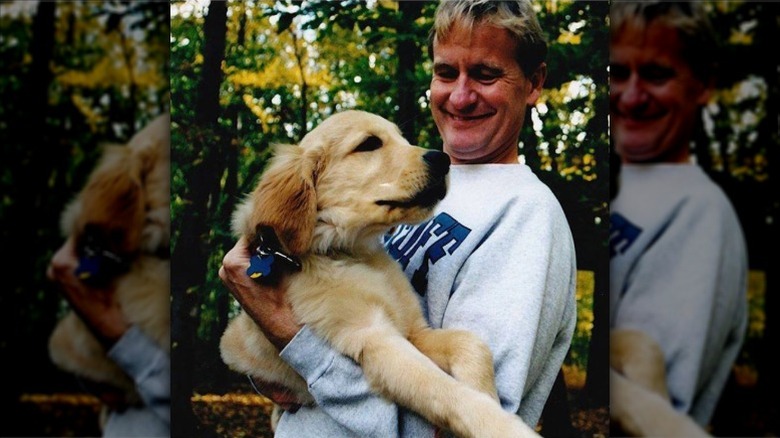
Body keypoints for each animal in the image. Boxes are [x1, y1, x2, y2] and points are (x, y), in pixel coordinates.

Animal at [218, 110, 536, 438]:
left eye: (401, 138)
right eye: (369, 144)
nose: (443, 159)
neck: (352, 252)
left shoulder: (413, 330)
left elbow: (470, 343)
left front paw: (487, 393)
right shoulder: (373, 337)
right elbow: (446, 392)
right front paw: (502, 426)